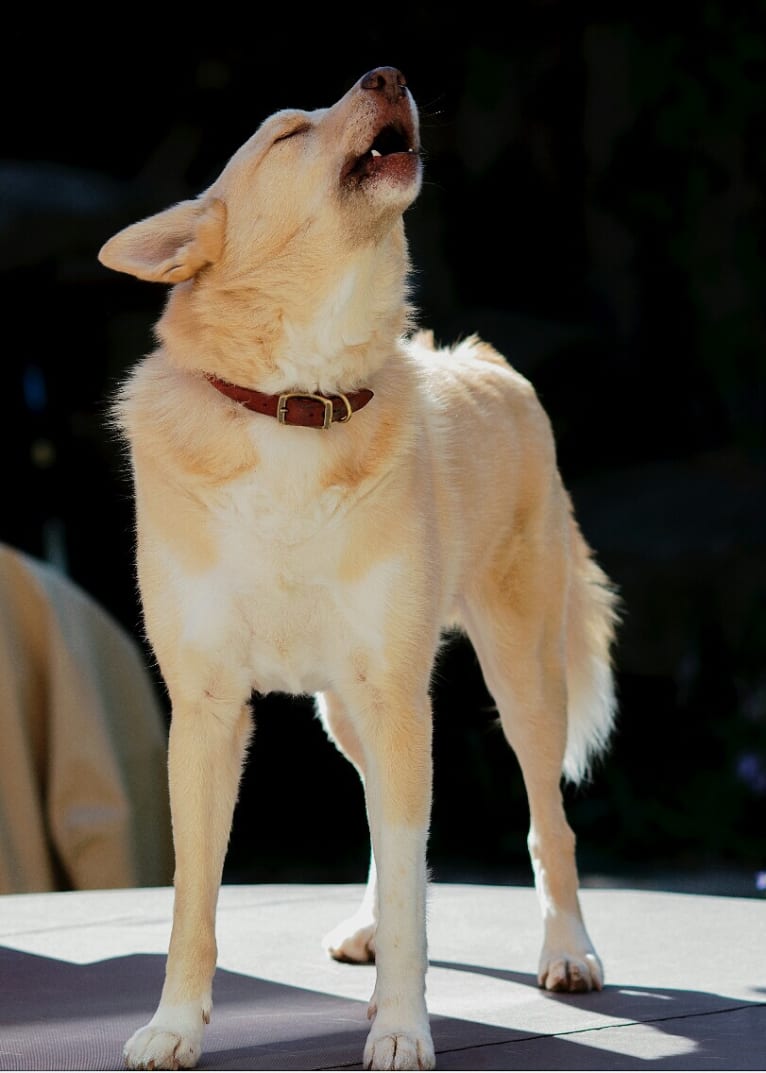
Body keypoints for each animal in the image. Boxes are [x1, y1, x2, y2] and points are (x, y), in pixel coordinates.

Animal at [98, 67, 617, 1073]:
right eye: (287, 134)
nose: (390, 76)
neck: (297, 400)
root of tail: (482, 359)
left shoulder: (397, 691)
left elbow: (420, 883)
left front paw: (402, 1025)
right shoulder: (208, 710)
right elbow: (192, 899)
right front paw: (174, 1024)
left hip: (518, 681)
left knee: (547, 823)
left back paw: (568, 946)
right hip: (345, 711)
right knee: (385, 808)